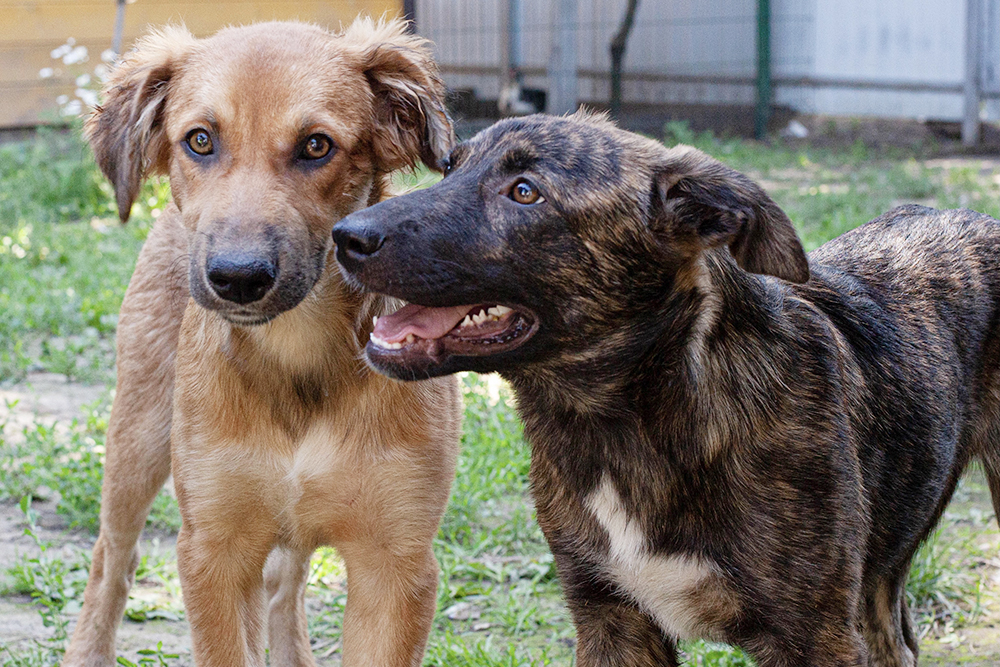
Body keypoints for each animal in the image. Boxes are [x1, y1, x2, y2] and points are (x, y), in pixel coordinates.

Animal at [64, 18, 462, 664]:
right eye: (200, 140)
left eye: (316, 146)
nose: (238, 277)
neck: (295, 355)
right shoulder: (213, 550)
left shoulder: (395, 564)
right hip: (138, 436)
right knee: (111, 562)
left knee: (283, 582)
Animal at [334, 112, 1000, 664]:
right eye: (450, 167)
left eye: (525, 192)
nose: (345, 235)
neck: (630, 425)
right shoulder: (610, 622)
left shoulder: (816, 637)